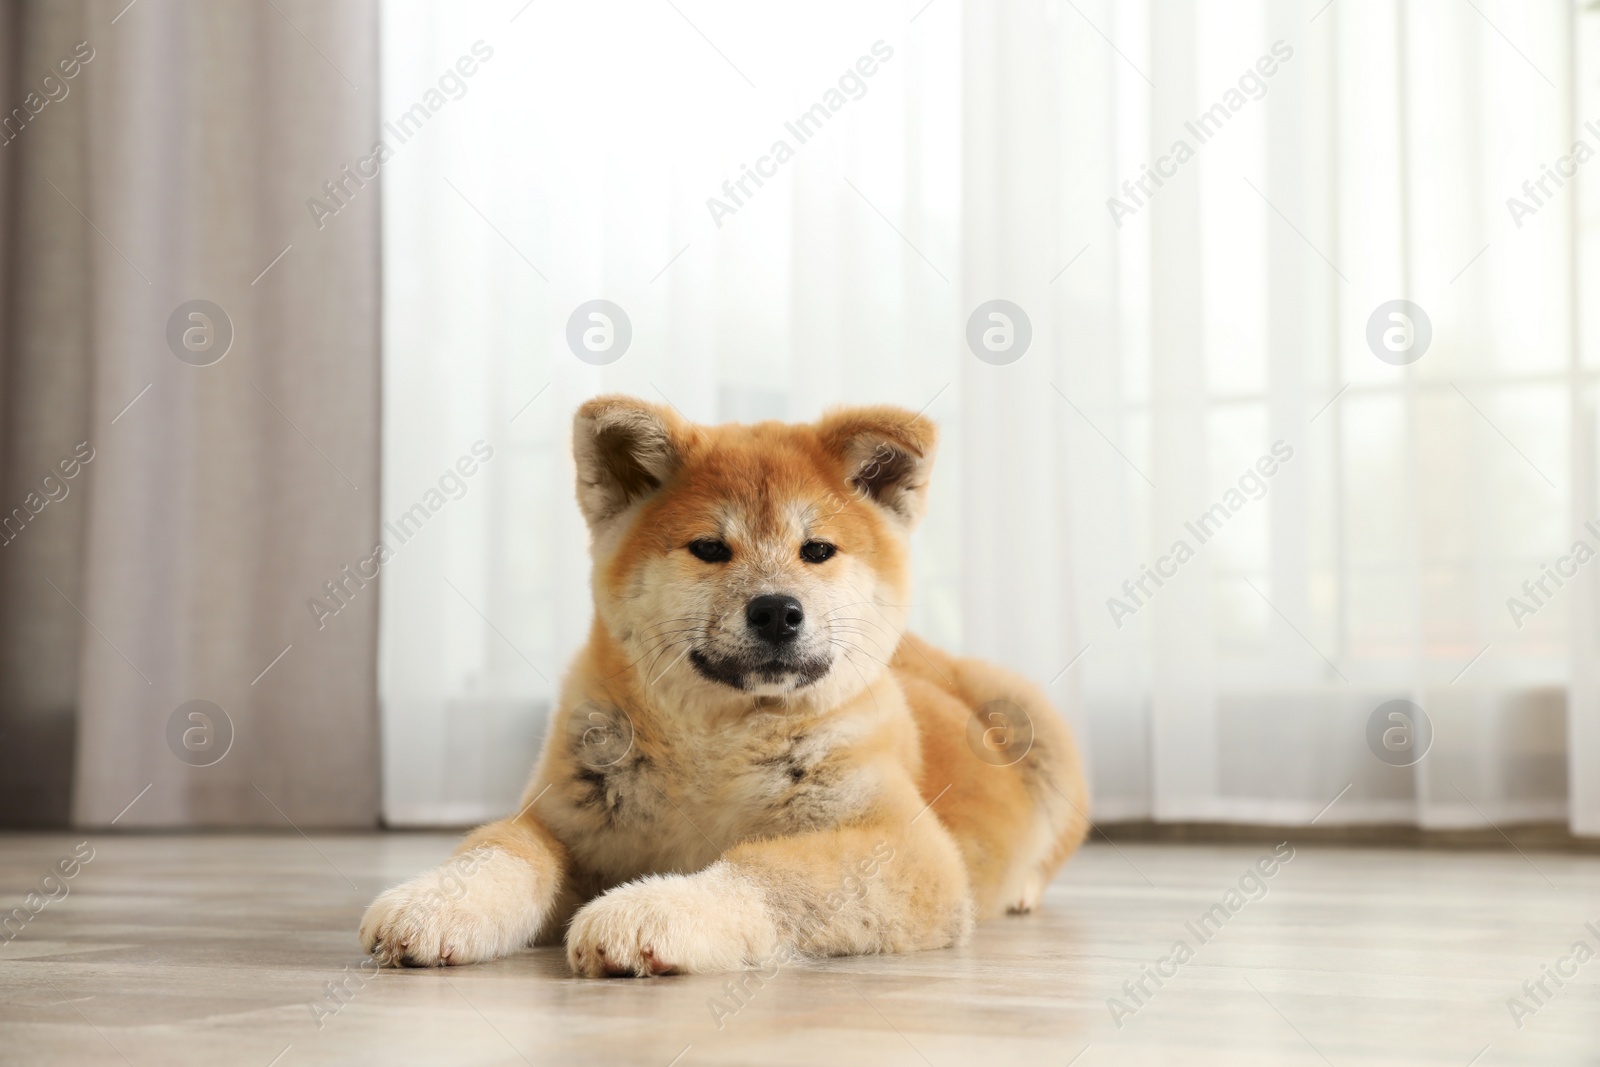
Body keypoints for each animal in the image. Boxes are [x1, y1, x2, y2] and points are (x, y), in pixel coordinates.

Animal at [361, 398, 1088, 979]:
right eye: (710, 548)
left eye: (816, 550)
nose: (777, 611)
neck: (714, 742)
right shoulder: (558, 818)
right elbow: (498, 854)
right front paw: (433, 904)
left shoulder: (903, 847)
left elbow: (767, 872)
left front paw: (651, 909)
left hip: (1034, 720)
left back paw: (1023, 890)